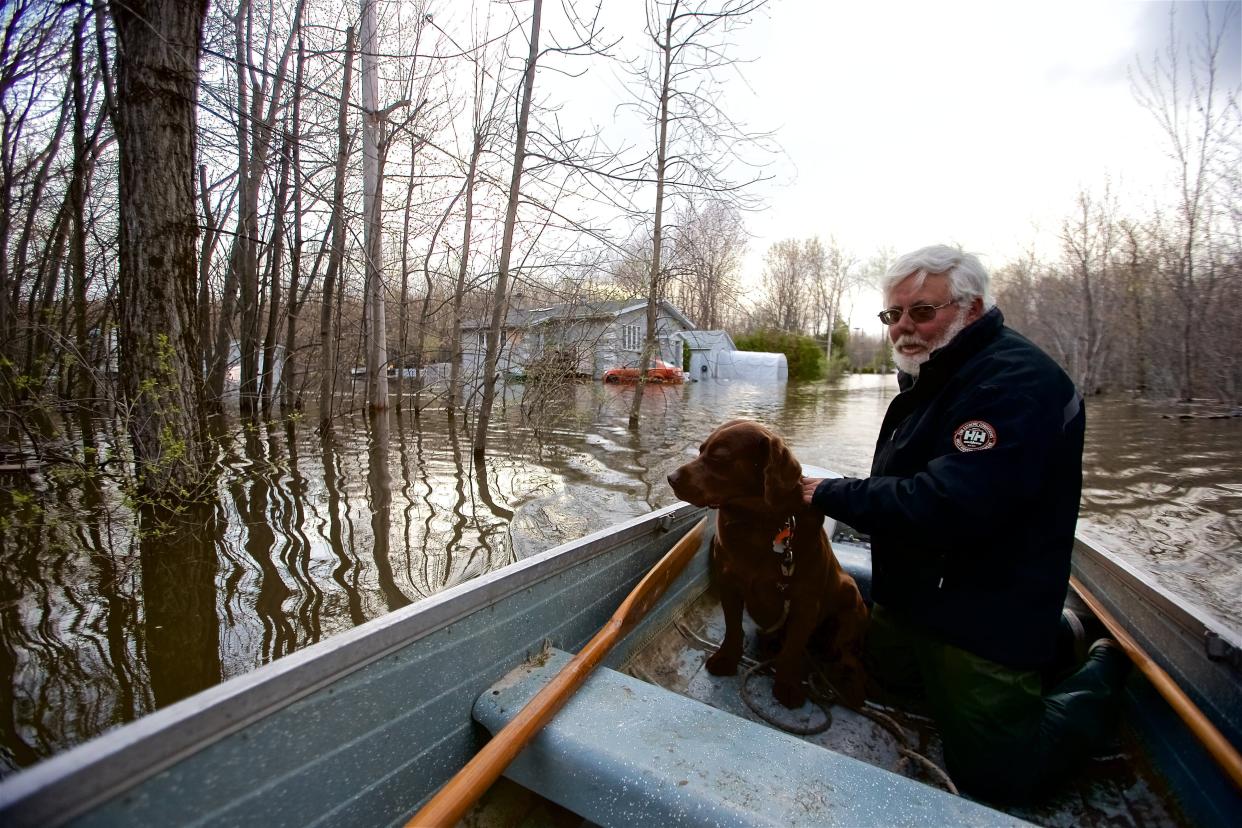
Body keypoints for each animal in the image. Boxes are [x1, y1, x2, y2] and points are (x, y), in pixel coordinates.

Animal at [665, 422, 869, 705]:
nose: (671, 477)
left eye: (719, 455)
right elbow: (733, 628)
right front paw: (727, 659)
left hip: (850, 594)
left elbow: (792, 648)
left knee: (846, 655)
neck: (758, 525)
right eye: (701, 450)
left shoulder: (805, 603)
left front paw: (787, 685)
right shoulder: (729, 584)